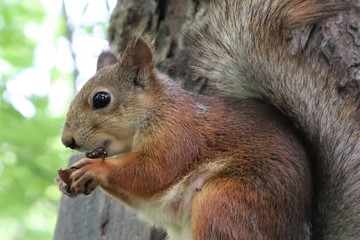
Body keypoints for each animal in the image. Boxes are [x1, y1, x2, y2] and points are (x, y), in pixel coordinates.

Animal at [57, 0, 356, 240]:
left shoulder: (178, 134)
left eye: (101, 99)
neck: (157, 110)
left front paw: (96, 169)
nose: (66, 140)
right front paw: (66, 181)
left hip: (224, 201)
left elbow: (152, 171)